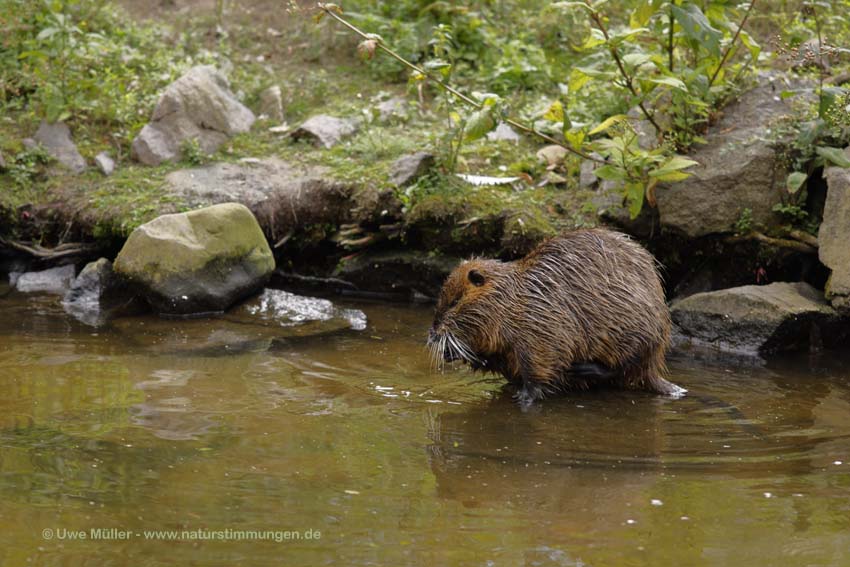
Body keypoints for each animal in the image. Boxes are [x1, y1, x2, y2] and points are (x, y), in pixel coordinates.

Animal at [428, 229, 684, 406]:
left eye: (454, 302)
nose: (432, 333)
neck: (520, 295)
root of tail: (654, 371)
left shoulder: (541, 327)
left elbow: (539, 365)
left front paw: (525, 397)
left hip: (638, 330)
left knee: (626, 363)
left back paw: (583, 369)